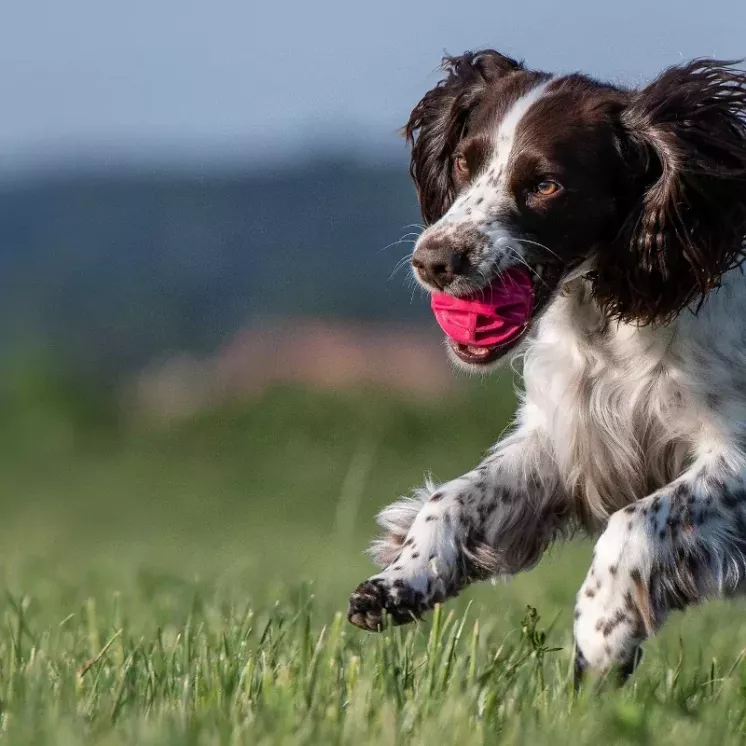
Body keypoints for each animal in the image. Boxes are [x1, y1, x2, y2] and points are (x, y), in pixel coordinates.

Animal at [346, 49, 744, 676]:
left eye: (546, 185)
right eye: (463, 162)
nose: (432, 261)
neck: (609, 325)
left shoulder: (730, 453)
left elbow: (636, 518)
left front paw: (604, 630)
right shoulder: (565, 439)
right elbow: (453, 496)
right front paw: (400, 579)